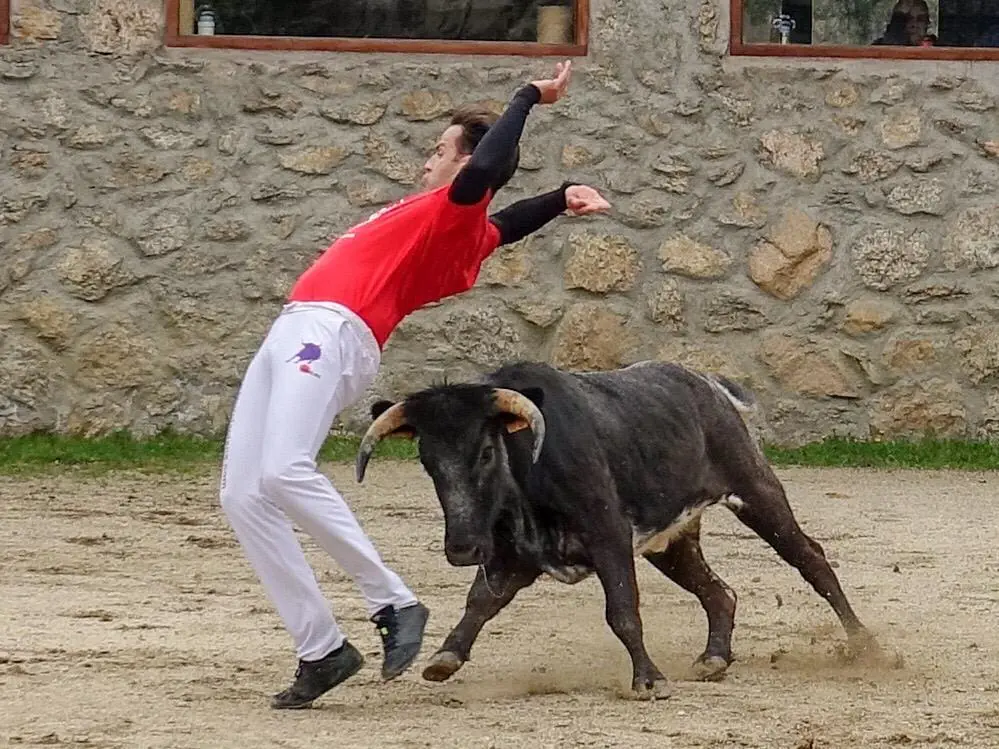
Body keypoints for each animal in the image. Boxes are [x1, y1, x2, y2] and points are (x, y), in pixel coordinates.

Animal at [356, 360, 880, 700]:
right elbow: (480, 602)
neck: (528, 464)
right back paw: (714, 658)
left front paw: (648, 681)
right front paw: (445, 657)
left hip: (755, 489)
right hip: (671, 542)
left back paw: (864, 645)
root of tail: (710, 384)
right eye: (427, 461)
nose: (462, 549)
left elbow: (622, 610)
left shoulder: (607, 536)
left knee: (810, 557)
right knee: (720, 591)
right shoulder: (509, 555)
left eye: (485, 452)